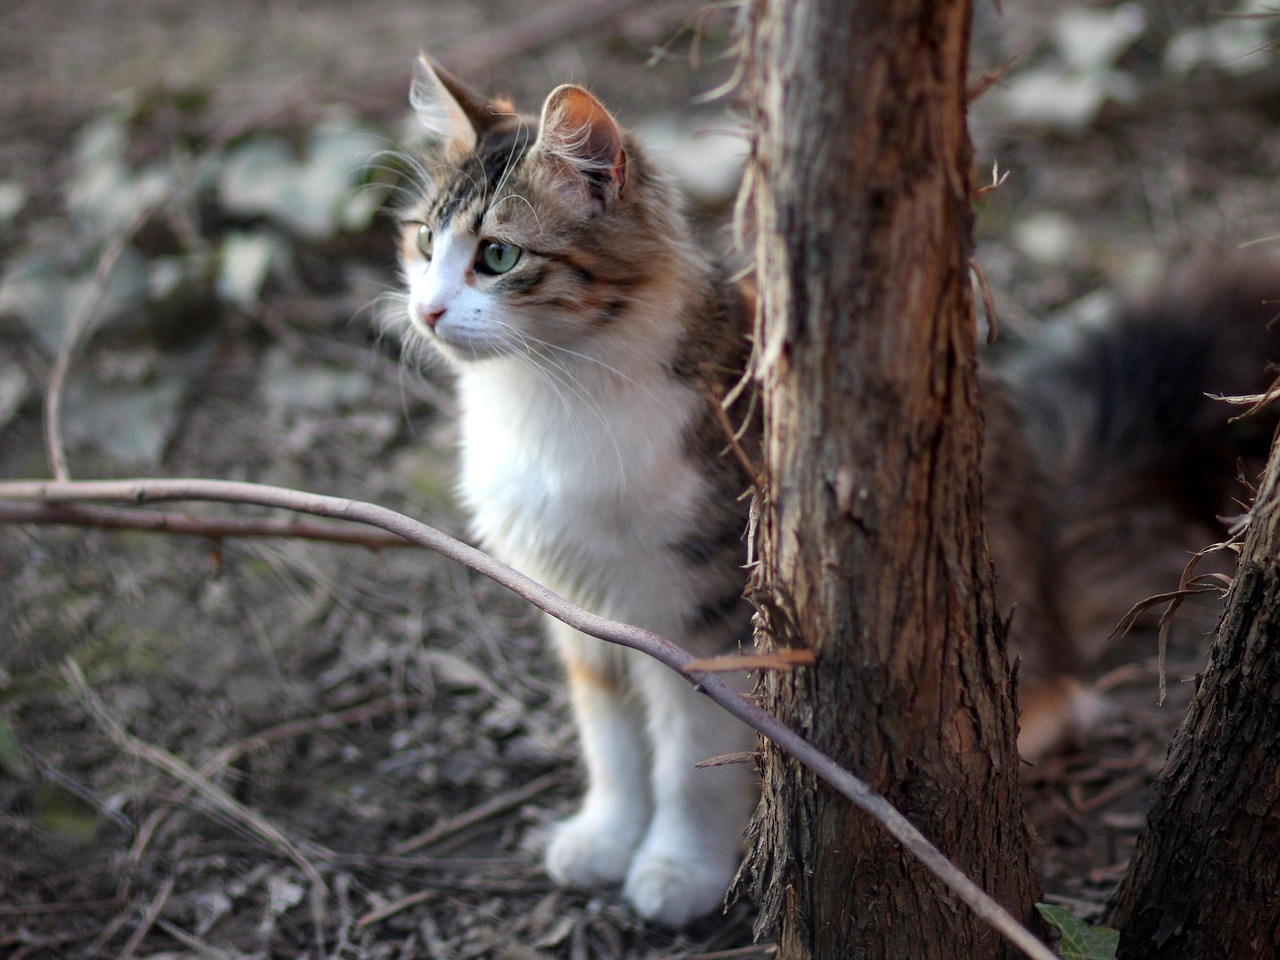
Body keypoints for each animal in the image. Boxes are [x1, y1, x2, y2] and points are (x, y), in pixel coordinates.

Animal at [391, 56, 1280, 926]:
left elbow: (688, 762)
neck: (542, 398)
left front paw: (678, 869)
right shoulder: (579, 611)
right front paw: (607, 837)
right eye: (425, 241)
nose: (426, 310)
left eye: (497, 257)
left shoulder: (708, 614)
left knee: (1059, 700)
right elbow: (611, 746)